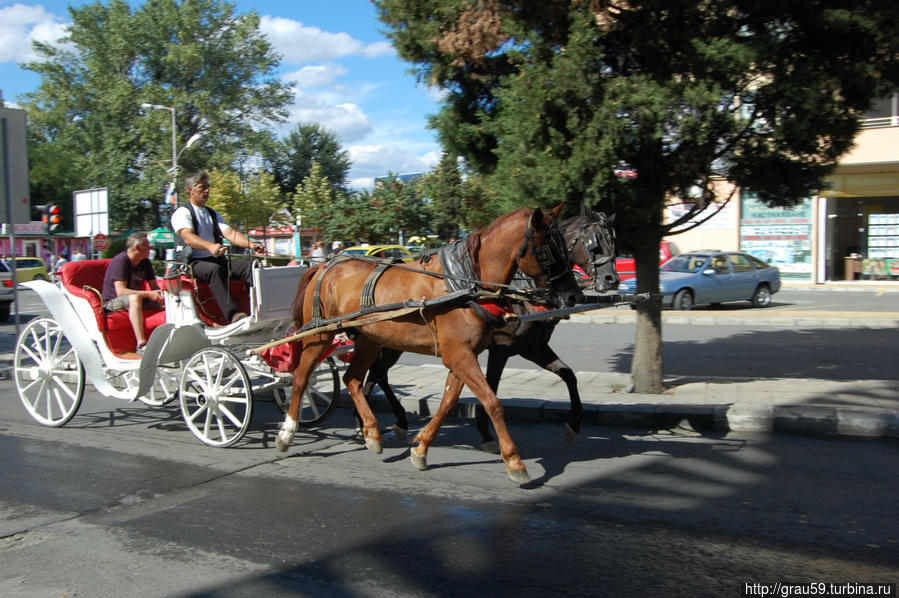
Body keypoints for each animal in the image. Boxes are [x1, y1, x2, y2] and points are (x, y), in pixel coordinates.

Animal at [276, 204, 584, 486]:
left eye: (566, 245)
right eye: (549, 249)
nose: (574, 296)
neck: (464, 284)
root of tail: (324, 265)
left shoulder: (465, 354)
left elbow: (448, 402)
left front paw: (421, 448)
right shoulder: (461, 355)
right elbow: (492, 402)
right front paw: (514, 460)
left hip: (369, 340)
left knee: (353, 379)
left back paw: (372, 431)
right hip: (318, 338)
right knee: (301, 378)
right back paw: (288, 432)